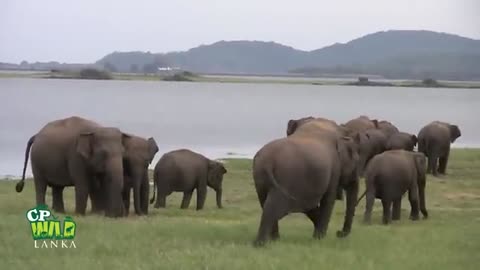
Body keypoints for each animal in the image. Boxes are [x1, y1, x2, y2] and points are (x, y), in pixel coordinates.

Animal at [255, 118, 360, 247]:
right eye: (356, 161)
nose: (339, 233)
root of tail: (267, 162)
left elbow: (309, 205)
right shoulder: (334, 169)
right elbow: (328, 199)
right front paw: (319, 238)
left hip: (260, 179)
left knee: (266, 204)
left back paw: (274, 241)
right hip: (287, 177)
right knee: (273, 207)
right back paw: (263, 244)